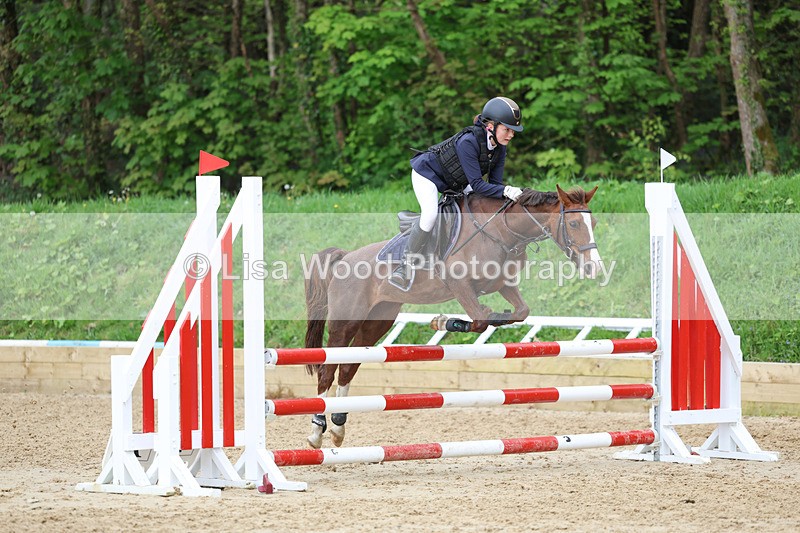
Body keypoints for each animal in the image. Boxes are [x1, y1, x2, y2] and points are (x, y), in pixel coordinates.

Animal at [302, 185, 601, 448]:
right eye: (574, 224)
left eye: (594, 222)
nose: (595, 268)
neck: (502, 231)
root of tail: (344, 258)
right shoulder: (460, 286)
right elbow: (479, 318)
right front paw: (446, 321)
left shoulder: (503, 284)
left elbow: (519, 312)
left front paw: (492, 316)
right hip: (346, 321)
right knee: (327, 370)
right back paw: (317, 431)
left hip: (378, 319)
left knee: (348, 366)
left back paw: (338, 427)